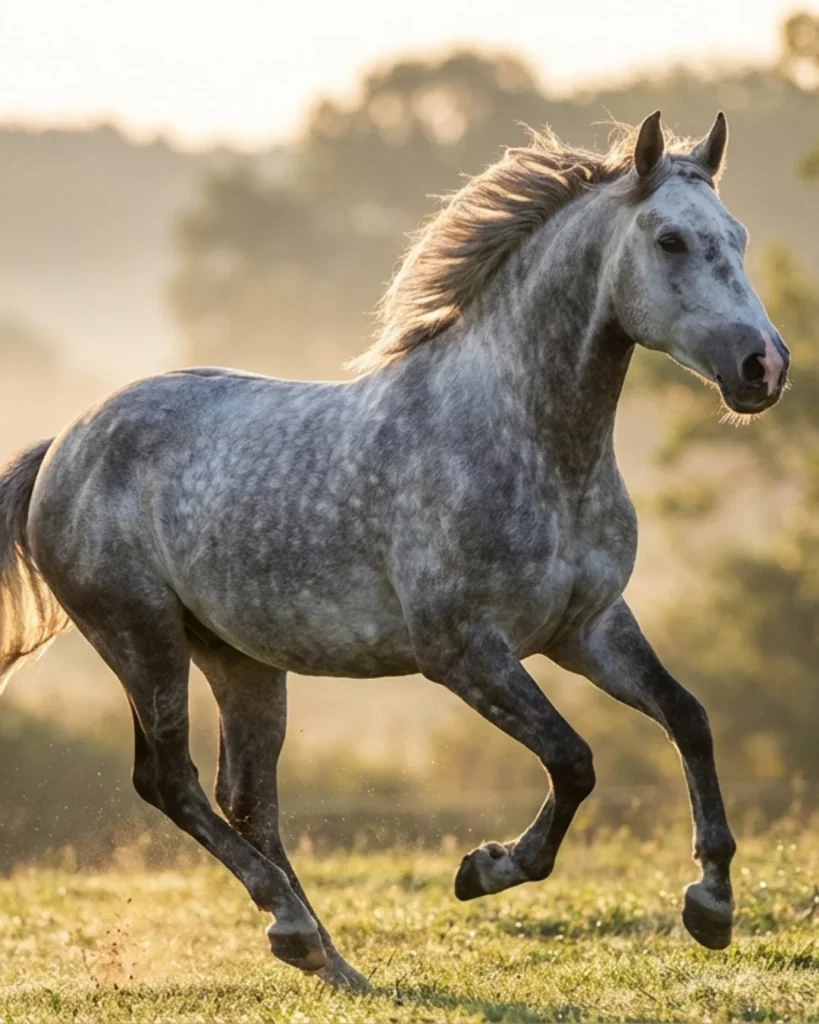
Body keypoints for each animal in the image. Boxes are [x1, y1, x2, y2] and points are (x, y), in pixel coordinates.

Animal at [0, 111, 789, 987]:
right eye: (670, 240)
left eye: (736, 236)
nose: (763, 366)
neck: (529, 441)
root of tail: (63, 445)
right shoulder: (462, 650)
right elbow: (574, 759)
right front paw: (484, 869)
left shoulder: (587, 629)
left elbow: (688, 718)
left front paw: (711, 906)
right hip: (143, 639)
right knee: (170, 782)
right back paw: (294, 928)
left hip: (239, 659)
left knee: (247, 797)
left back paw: (322, 954)